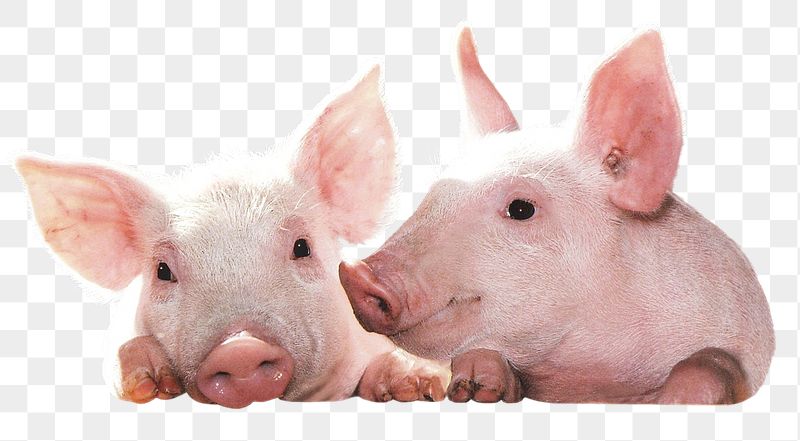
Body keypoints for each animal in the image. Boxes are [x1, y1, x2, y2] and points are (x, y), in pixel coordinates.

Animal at [339, 28, 775, 405]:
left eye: (521, 208)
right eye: (434, 194)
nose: (357, 274)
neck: (592, 382)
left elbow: (713, 363)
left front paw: (676, 401)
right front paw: (476, 385)